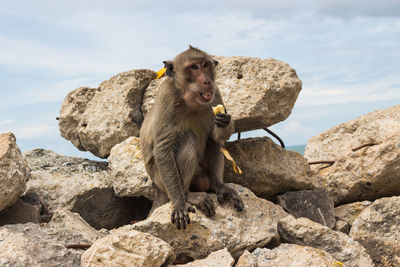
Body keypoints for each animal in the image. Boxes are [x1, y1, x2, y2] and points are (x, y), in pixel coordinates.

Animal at [139, 46, 242, 230]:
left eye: (205, 65)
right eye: (194, 67)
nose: (206, 81)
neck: (190, 100)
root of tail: (157, 188)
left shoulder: (215, 93)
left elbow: (215, 135)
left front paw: (225, 121)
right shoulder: (168, 98)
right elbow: (163, 148)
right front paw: (180, 203)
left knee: (214, 142)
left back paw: (218, 186)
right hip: (162, 181)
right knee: (188, 138)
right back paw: (188, 195)